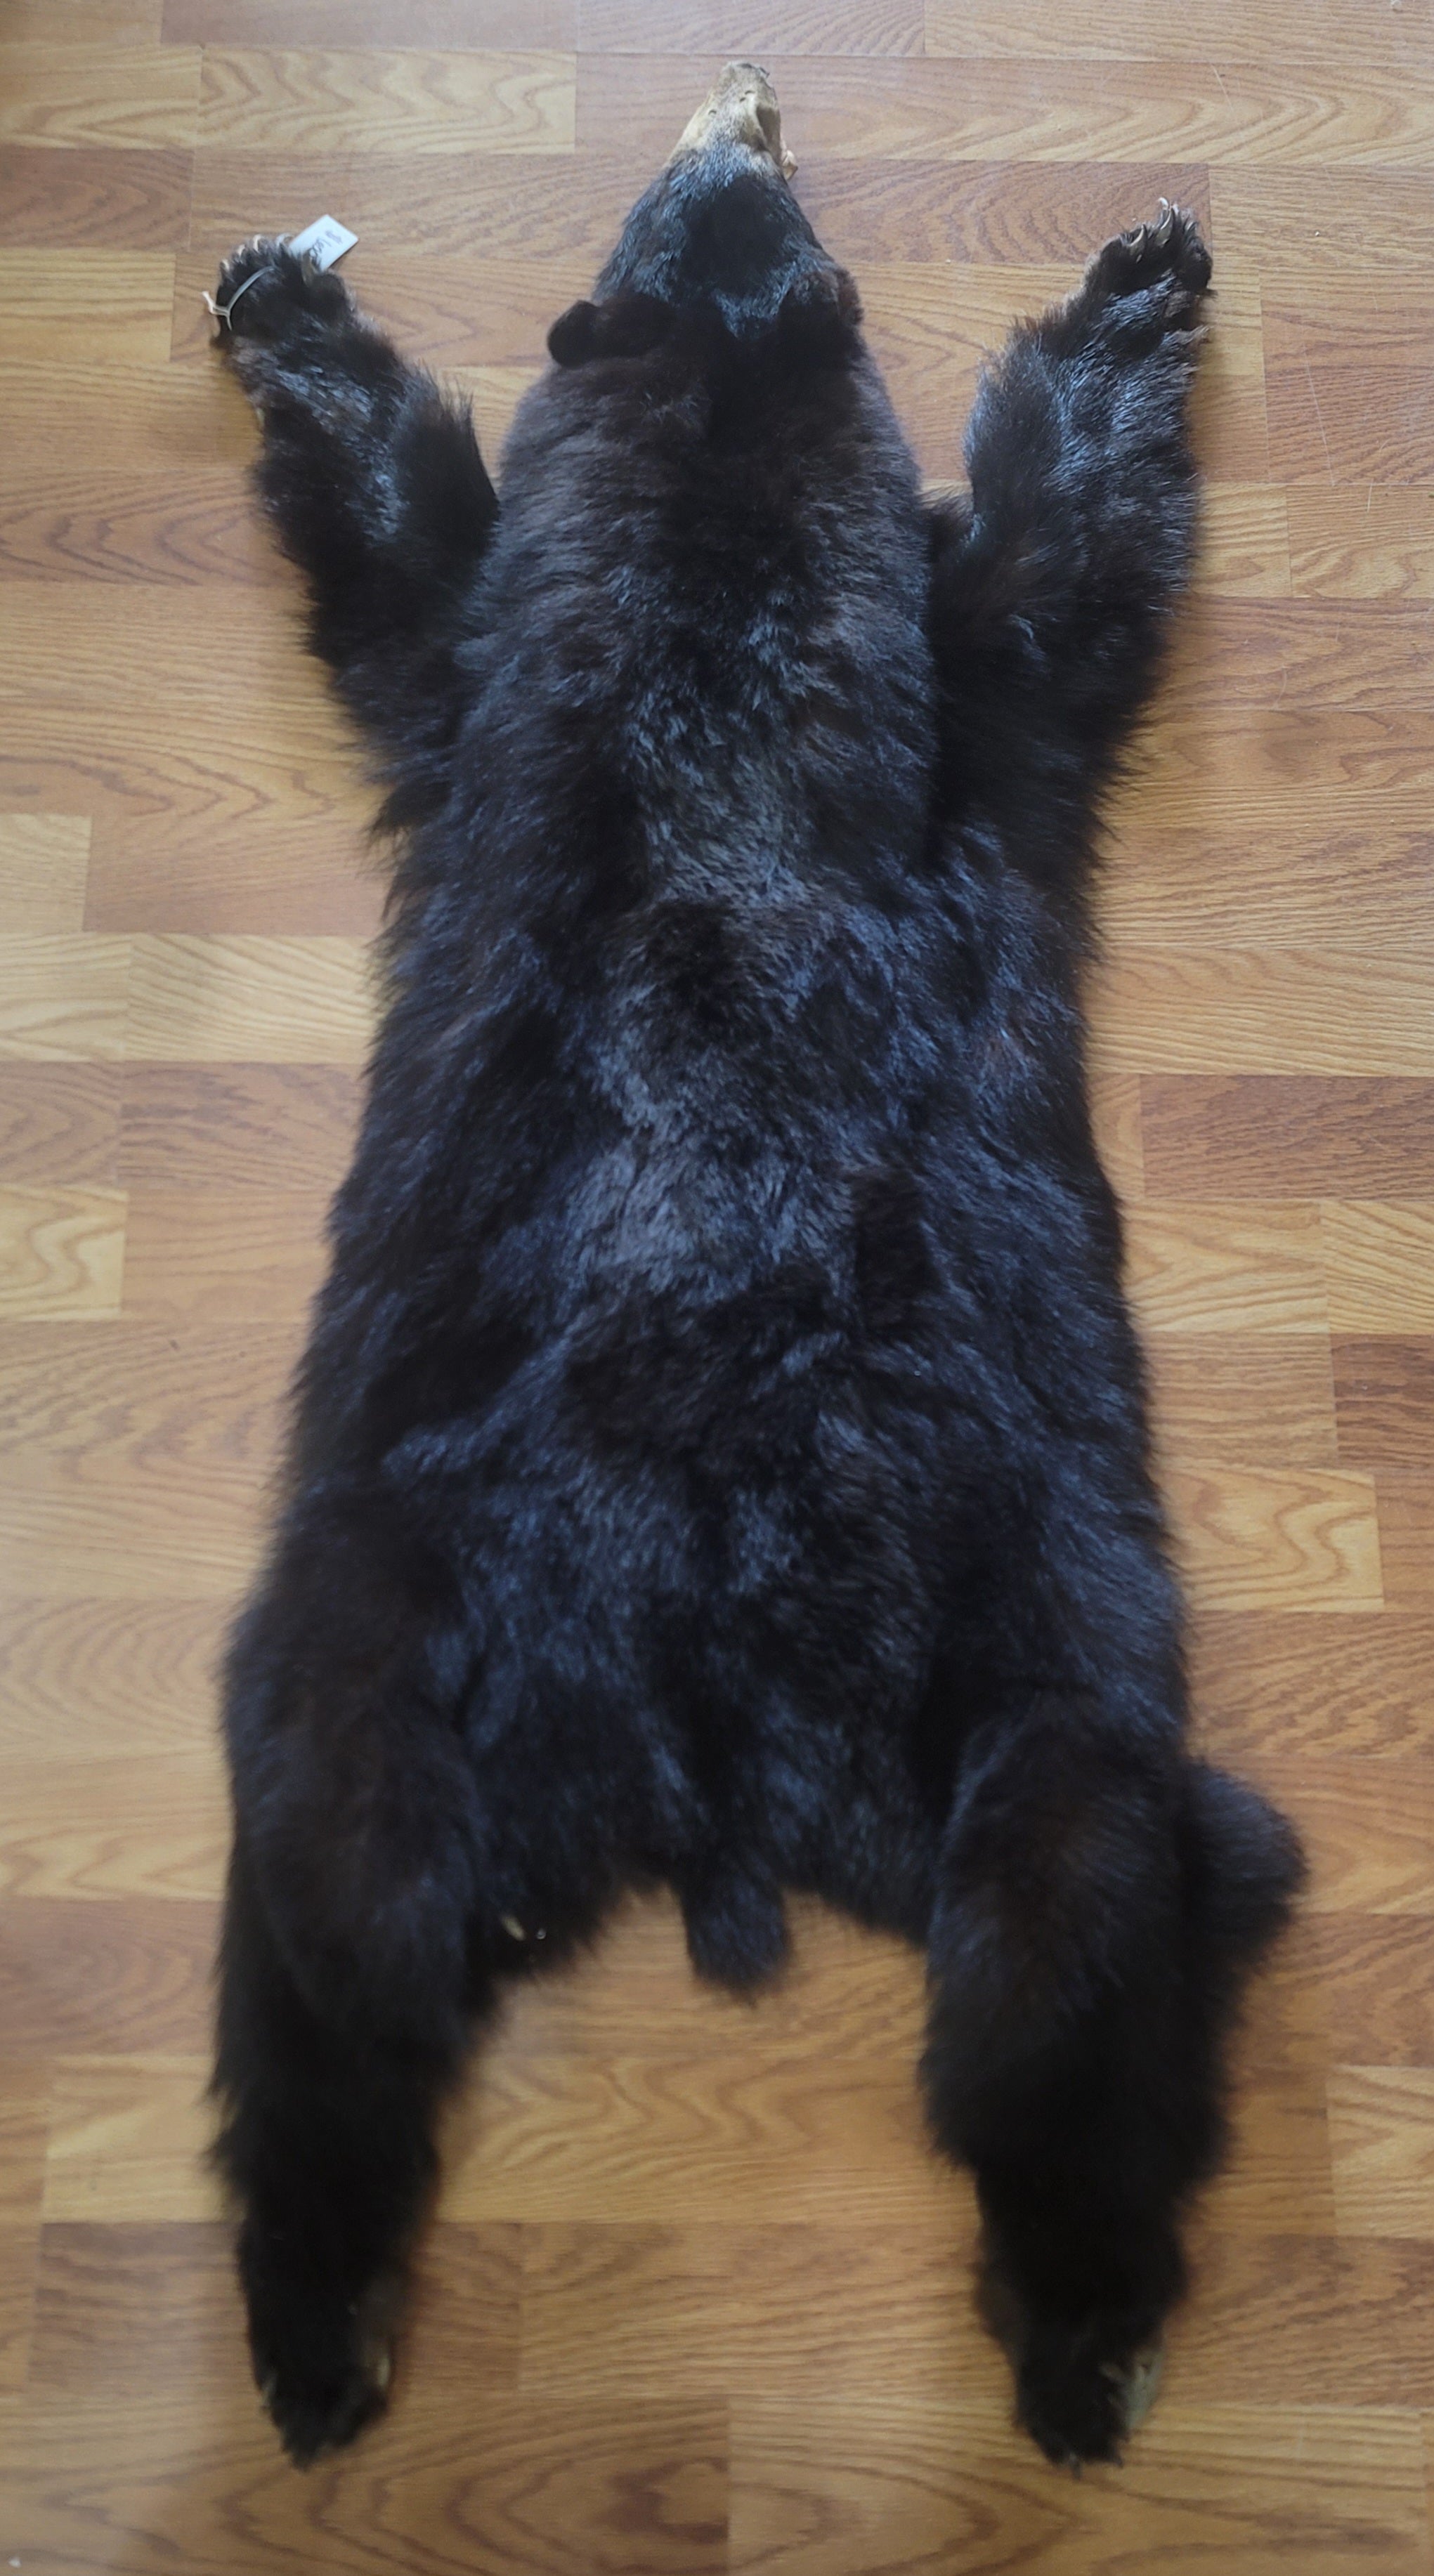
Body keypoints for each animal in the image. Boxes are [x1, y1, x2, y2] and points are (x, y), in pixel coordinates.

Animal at [208, 60, 1302, 2474]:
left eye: (758, 196)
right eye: (692, 191)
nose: (752, 93)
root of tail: (716, 1745)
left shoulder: (952, 718)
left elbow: (1041, 566)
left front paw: (1136, 273)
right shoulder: (525, 677)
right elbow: (421, 556)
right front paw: (273, 294)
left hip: (1033, 1653)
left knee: (1048, 1982)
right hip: (392, 1629)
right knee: (349, 1956)